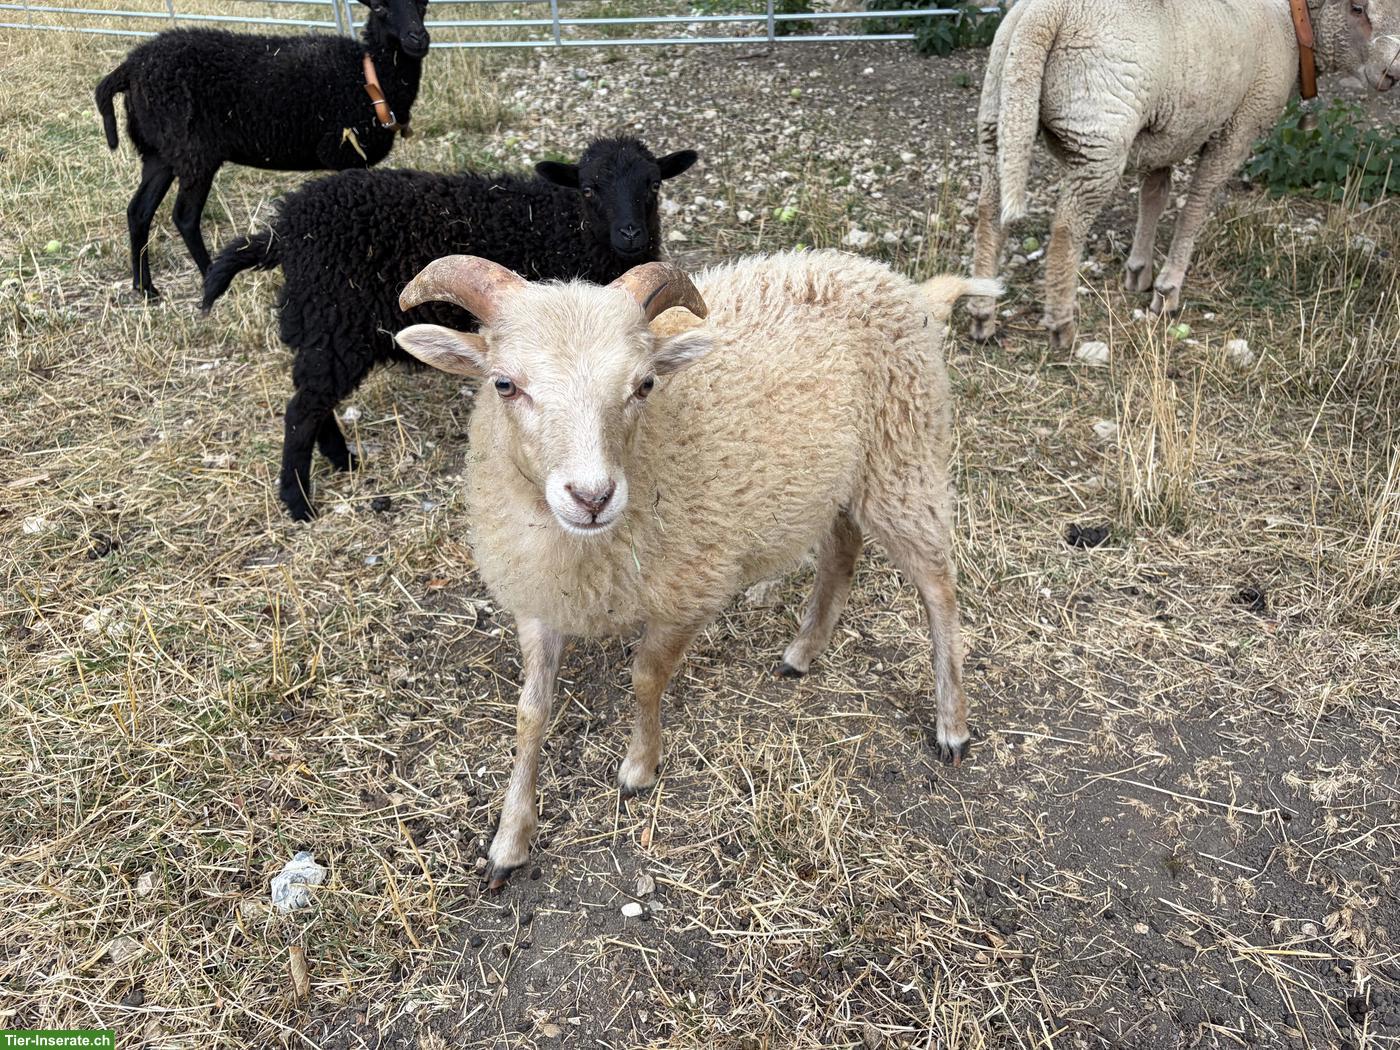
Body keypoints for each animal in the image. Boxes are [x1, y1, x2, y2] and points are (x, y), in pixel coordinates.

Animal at [94, 0, 430, 300]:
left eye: (424, 4)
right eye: (379, 8)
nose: (419, 39)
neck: (369, 76)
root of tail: (131, 67)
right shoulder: (346, 154)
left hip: (160, 153)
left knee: (139, 211)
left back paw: (145, 289)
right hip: (194, 153)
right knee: (184, 217)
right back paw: (212, 278)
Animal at [199, 136, 698, 522]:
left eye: (653, 184)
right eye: (590, 189)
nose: (631, 234)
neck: (567, 226)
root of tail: (280, 233)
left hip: (323, 327)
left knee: (312, 399)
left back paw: (342, 460)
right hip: (336, 322)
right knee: (301, 410)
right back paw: (298, 501)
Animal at [390, 249, 998, 888]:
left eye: (644, 384)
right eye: (504, 384)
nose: (592, 497)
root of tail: (901, 286)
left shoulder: (688, 590)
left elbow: (645, 678)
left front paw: (639, 767)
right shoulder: (540, 598)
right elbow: (531, 712)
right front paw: (511, 838)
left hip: (904, 457)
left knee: (938, 588)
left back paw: (951, 725)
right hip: (839, 479)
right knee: (841, 550)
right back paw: (803, 651)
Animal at [966, 0, 1400, 349]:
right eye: (1358, 8)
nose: (1392, 75)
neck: (1294, 20)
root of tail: (1043, 16)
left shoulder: (1170, 128)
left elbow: (1154, 195)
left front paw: (1138, 271)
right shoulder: (1239, 125)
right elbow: (1196, 204)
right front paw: (1166, 290)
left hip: (1000, 111)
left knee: (989, 213)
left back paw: (983, 313)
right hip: (1099, 133)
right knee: (1066, 229)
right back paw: (1061, 325)